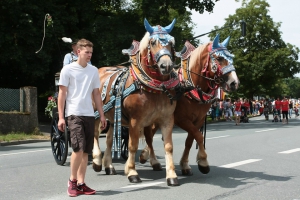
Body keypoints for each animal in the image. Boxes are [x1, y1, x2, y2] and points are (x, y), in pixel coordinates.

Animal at [92, 18, 184, 186]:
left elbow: (168, 146)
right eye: (153, 42)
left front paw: (171, 175)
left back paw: (109, 166)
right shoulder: (135, 121)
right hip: (96, 113)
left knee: (109, 140)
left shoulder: (166, 119)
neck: (153, 88)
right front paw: (132, 172)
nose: (166, 66)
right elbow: (132, 145)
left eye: (171, 42)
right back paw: (96, 161)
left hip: (113, 117)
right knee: (95, 135)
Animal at [139, 34, 240, 175]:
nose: (234, 83)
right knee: (149, 136)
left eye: (231, 57)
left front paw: (185, 165)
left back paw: (146, 155)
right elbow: (198, 136)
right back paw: (152, 160)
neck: (190, 88)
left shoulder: (198, 120)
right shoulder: (182, 119)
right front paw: (203, 161)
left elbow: (190, 140)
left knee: (151, 135)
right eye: (219, 58)